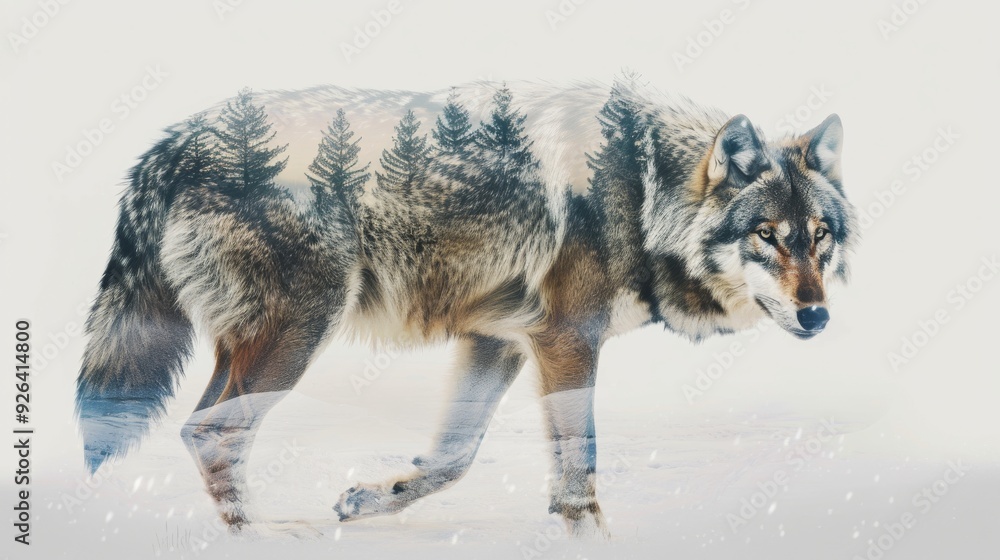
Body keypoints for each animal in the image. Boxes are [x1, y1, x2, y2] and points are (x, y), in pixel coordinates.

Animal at [75, 79, 856, 537]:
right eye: (767, 235)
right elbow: (579, 466)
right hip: (298, 335)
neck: (643, 190)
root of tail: (168, 145)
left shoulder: (499, 339)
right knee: (212, 432)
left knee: (198, 426)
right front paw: (589, 537)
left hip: (247, 347)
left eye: (819, 237)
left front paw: (372, 498)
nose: (818, 316)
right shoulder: (569, 339)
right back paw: (263, 537)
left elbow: (453, 456)